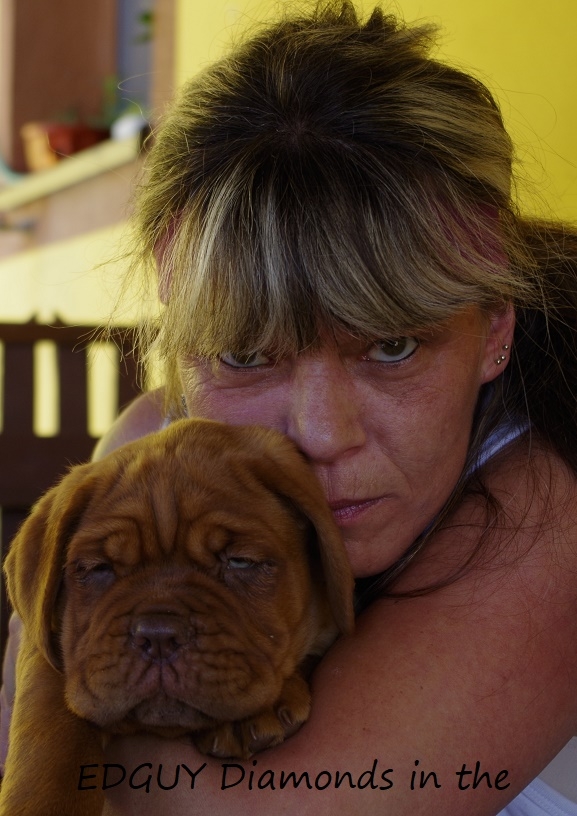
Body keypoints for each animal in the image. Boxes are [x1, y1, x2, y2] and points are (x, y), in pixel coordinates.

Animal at [0, 418, 354, 816]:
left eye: (241, 561)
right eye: (97, 568)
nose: (158, 635)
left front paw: (253, 714)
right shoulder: (46, 649)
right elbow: (51, 729)